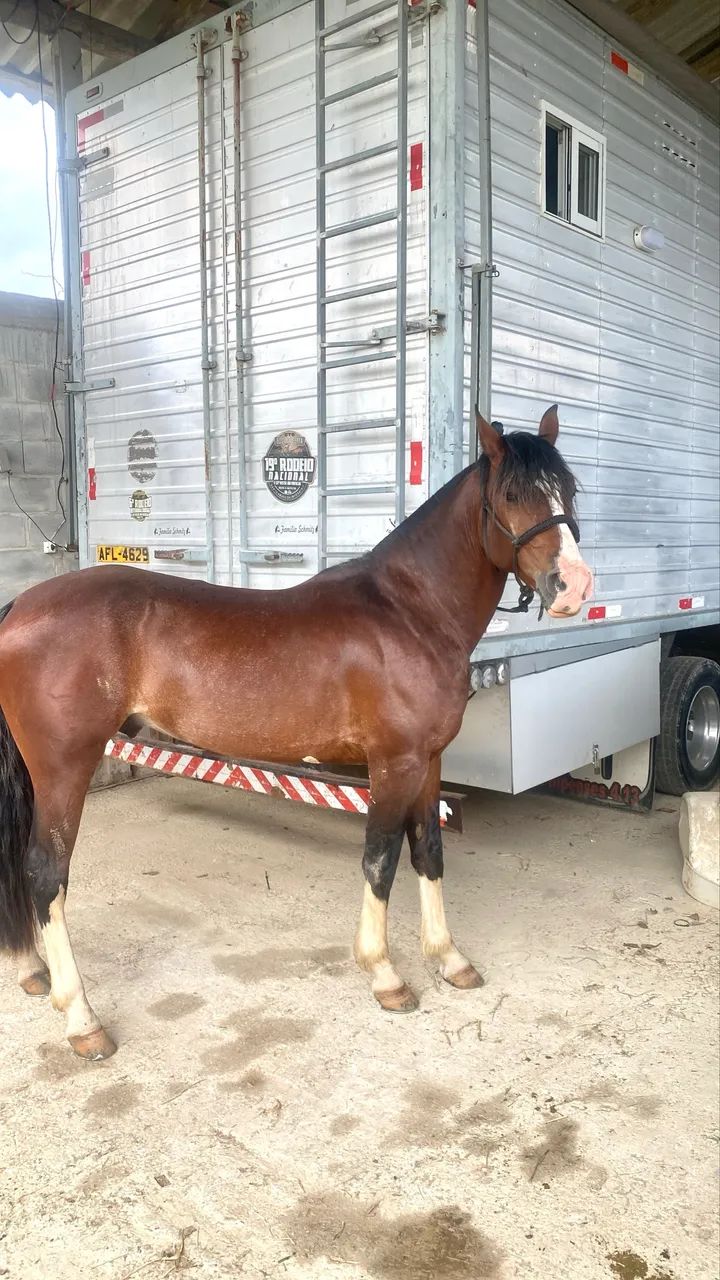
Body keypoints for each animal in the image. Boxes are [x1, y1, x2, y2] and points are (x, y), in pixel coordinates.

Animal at [0, 408, 593, 1060]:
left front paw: (449, 958)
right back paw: (82, 1018)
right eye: (511, 495)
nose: (575, 586)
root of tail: (20, 607)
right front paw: (385, 974)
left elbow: (429, 852)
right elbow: (381, 858)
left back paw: (33, 971)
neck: (410, 612)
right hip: (64, 767)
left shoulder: (429, 761)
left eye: (569, 489)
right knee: (46, 873)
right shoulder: (394, 763)